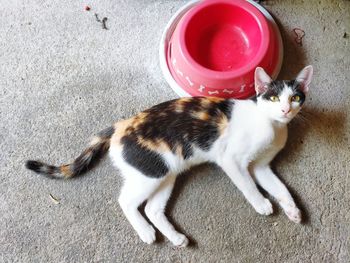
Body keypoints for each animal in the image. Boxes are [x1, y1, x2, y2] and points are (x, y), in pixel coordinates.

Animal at [25, 65, 314, 248]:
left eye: (295, 97)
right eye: (273, 97)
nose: (286, 110)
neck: (271, 125)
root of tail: (120, 125)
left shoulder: (261, 166)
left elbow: (279, 187)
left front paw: (293, 210)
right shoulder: (231, 160)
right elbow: (248, 185)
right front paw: (262, 204)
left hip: (166, 172)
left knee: (152, 209)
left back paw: (175, 238)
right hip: (150, 172)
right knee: (126, 201)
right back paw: (146, 233)